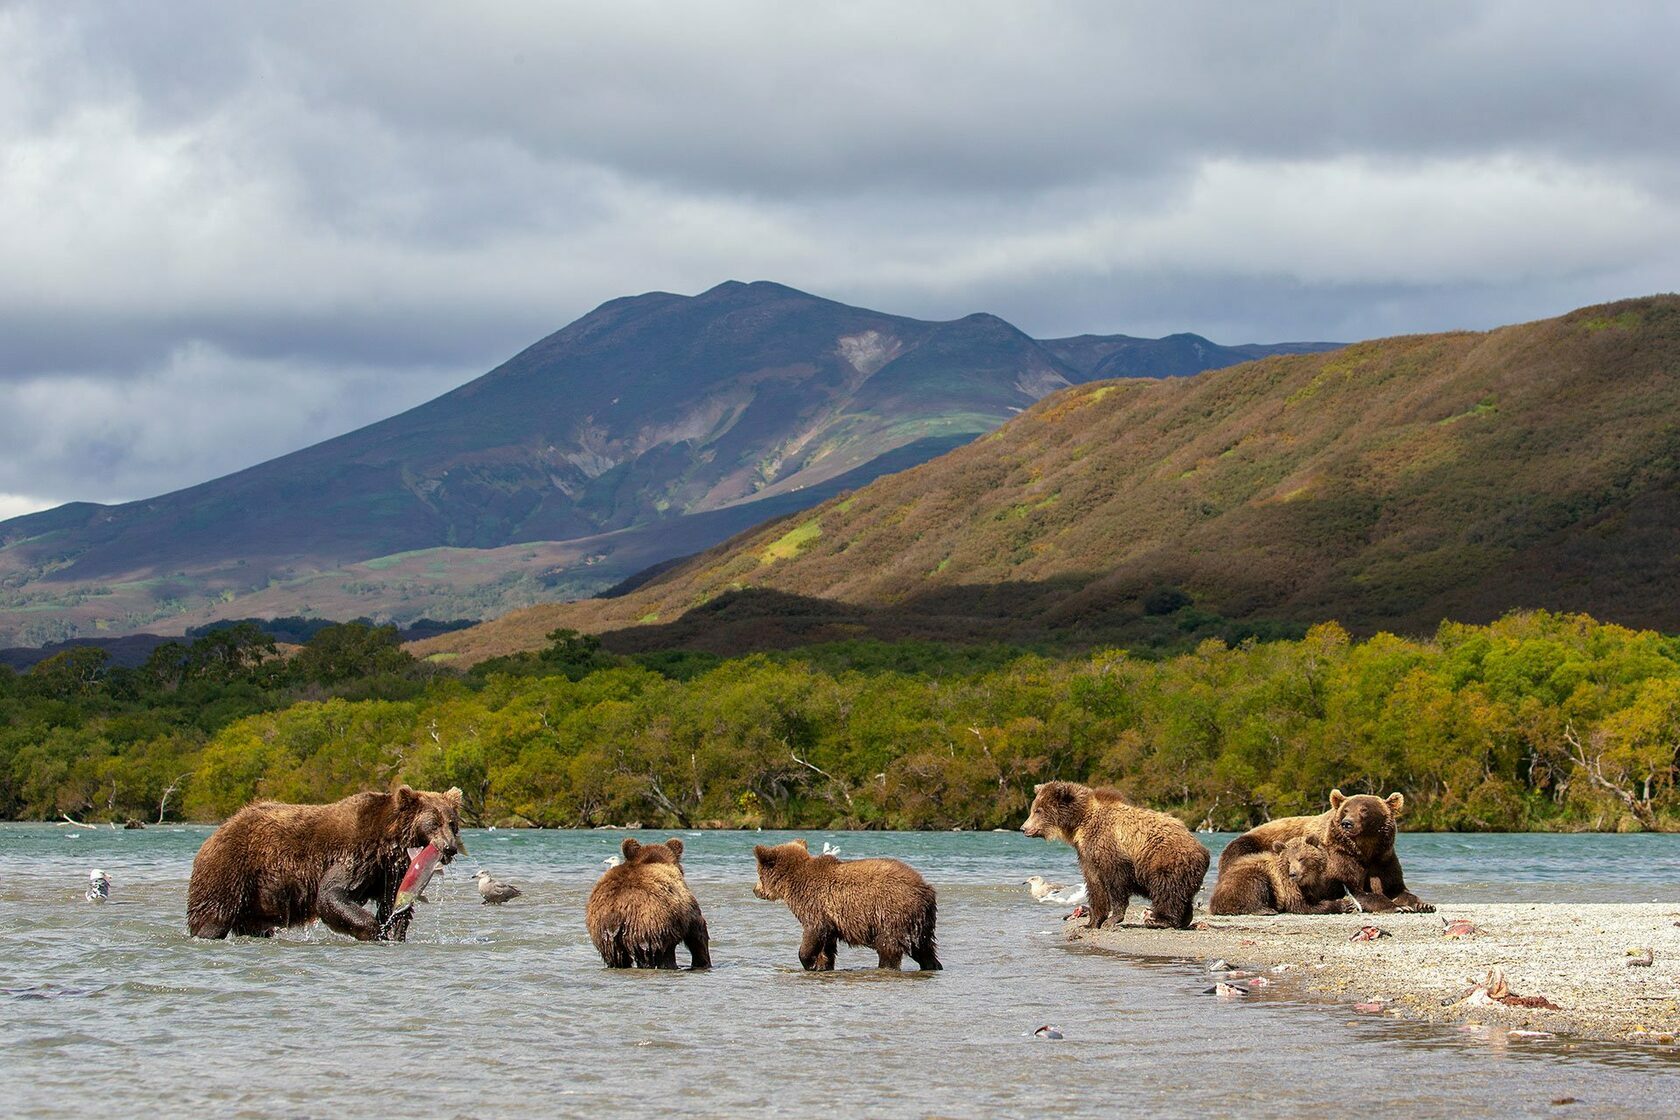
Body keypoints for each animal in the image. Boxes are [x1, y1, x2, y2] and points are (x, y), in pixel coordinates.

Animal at [183, 785, 467, 940]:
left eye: (452, 823)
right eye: (433, 823)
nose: (450, 848)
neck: (388, 843)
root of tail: (217, 831)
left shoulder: (388, 871)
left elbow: (393, 904)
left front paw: (395, 932)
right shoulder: (356, 853)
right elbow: (332, 894)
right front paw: (375, 931)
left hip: (256, 899)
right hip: (230, 870)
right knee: (213, 915)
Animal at [588, 836, 712, 967]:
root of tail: (618, 912)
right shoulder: (687, 907)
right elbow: (698, 932)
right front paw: (702, 961)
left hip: (605, 933)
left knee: (617, 957)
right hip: (652, 926)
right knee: (661, 954)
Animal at [752, 839, 940, 973]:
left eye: (758, 874)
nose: (755, 890)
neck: (791, 883)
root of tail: (926, 890)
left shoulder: (814, 904)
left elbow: (813, 931)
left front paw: (809, 962)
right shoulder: (831, 918)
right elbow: (827, 944)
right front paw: (823, 965)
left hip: (892, 914)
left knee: (888, 946)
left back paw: (885, 966)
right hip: (920, 923)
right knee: (924, 948)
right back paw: (933, 965)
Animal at [1209, 836, 1350, 913]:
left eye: (1301, 858)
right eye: (1288, 861)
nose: (1293, 874)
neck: (1308, 878)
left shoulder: (1318, 884)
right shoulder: (1287, 884)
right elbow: (1301, 905)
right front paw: (1344, 904)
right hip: (1245, 878)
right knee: (1255, 885)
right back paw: (1266, 910)